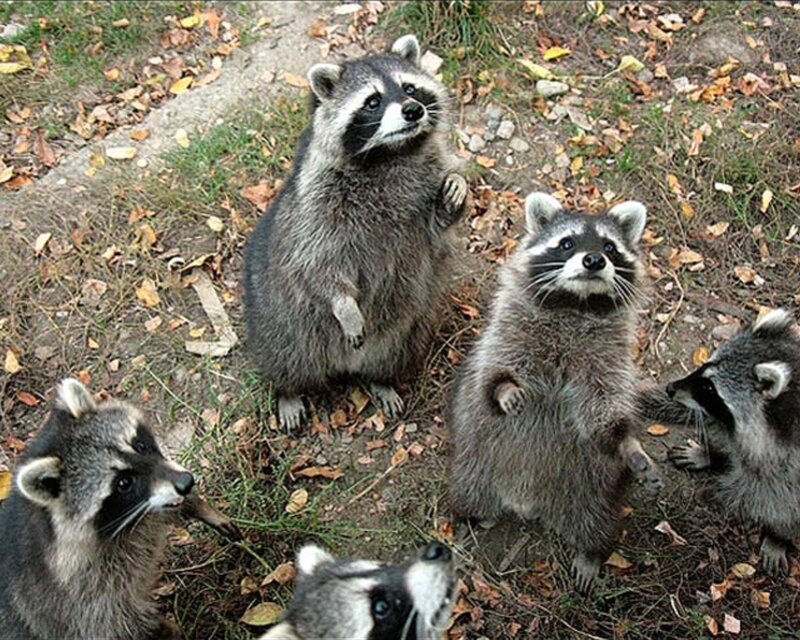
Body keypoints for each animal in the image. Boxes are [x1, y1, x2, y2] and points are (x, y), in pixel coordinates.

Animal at [0, 379, 239, 640]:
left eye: (140, 445)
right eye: (124, 483)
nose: (187, 482)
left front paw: (199, 506)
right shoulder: (77, 598)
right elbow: (120, 624)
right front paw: (166, 629)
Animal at [243, 34, 468, 429]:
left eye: (410, 88)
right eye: (373, 101)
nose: (413, 110)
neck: (391, 153)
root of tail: (343, 366)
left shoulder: (427, 178)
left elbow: (435, 231)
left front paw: (454, 193)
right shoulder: (318, 202)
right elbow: (316, 262)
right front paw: (343, 304)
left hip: (408, 330)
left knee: (396, 349)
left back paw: (381, 381)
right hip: (279, 317)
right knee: (285, 354)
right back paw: (287, 390)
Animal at [448, 192, 662, 593]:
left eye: (610, 247)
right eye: (567, 243)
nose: (594, 260)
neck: (576, 304)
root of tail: (526, 503)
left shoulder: (607, 360)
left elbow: (604, 409)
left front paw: (627, 442)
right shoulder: (508, 332)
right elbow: (492, 373)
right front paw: (505, 389)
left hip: (594, 487)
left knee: (598, 517)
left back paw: (592, 551)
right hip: (472, 465)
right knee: (468, 490)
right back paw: (469, 520)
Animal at [636, 309, 800, 574]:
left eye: (709, 388)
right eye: (704, 366)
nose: (671, 388)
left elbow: (779, 499)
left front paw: (779, 535)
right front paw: (712, 454)